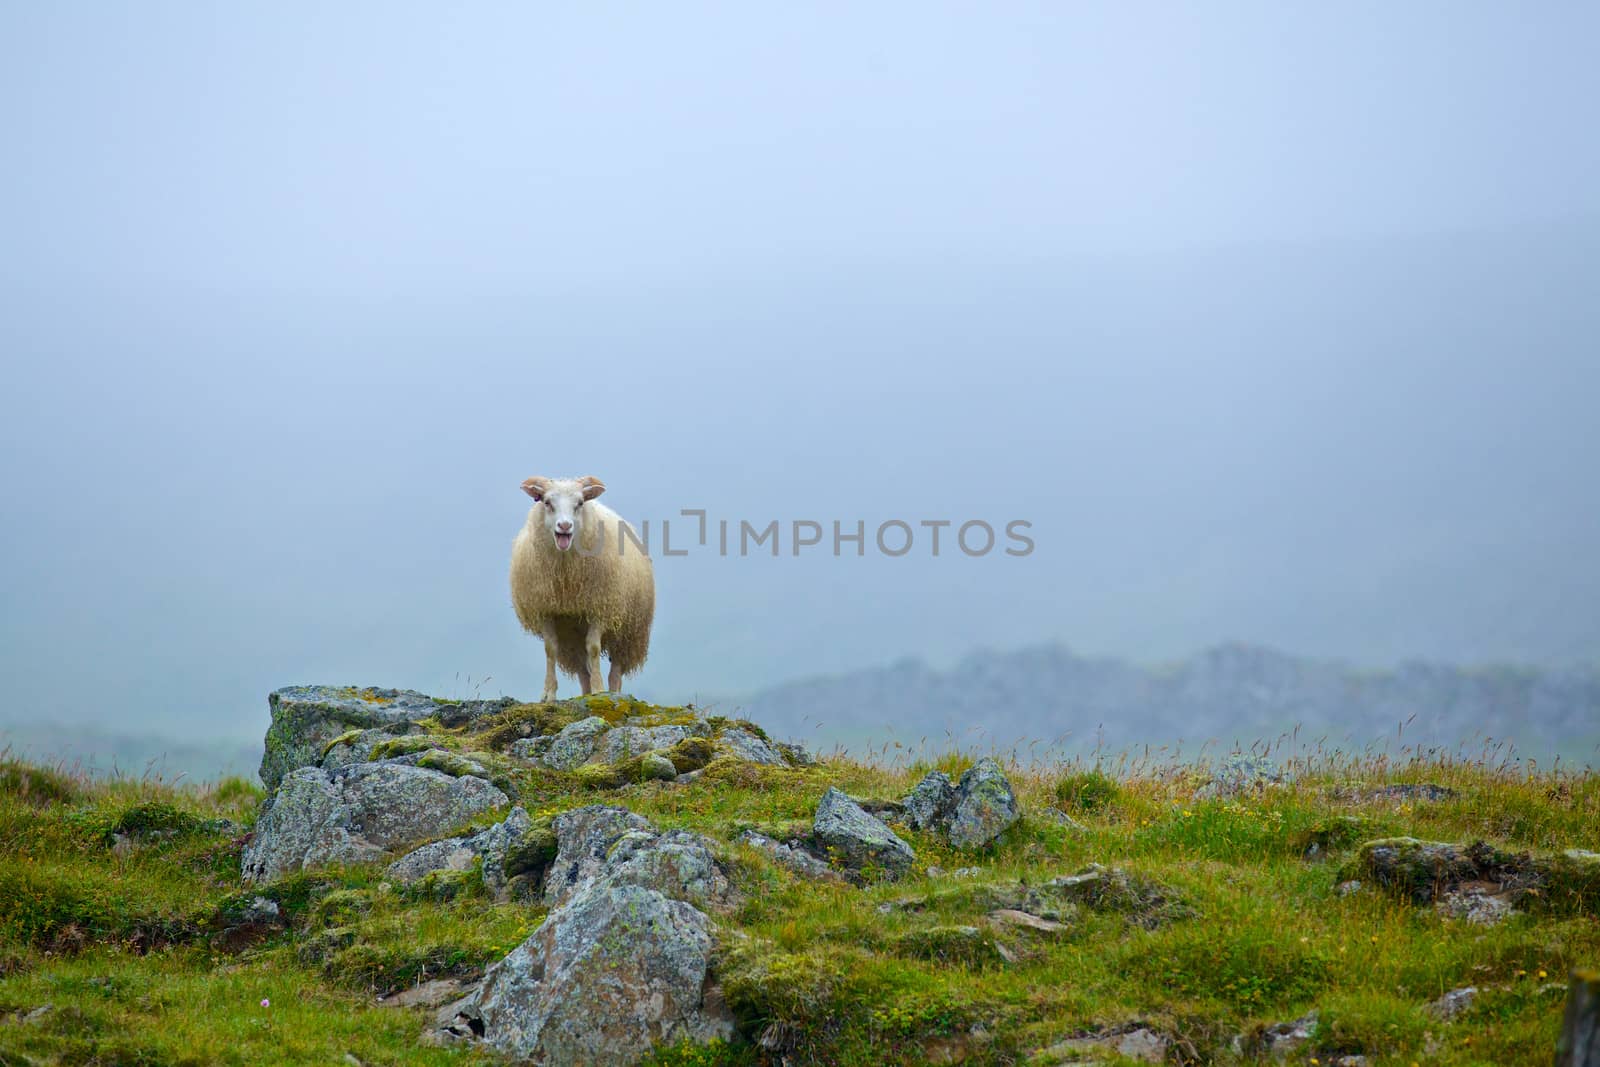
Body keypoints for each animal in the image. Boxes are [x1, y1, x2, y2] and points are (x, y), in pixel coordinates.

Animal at [508, 476, 652, 700]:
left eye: (580, 503)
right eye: (547, 502)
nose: (565, 525)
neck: (566, 579)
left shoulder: (599, 608)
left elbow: (593, 648)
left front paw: (599, 690)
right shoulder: (546, 611)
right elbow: (550, 649)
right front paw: (548, 694)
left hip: (628, 630)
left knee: (616, 670)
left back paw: (612, 692)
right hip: (572, 637)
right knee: (582, 671)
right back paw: (585, 692)